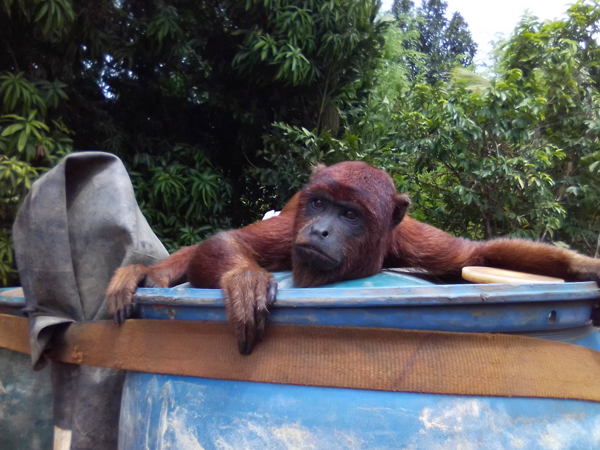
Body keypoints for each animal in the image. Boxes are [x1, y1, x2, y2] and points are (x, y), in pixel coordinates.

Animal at [106, 162, 600, 356]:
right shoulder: (290, 227)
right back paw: (139, 276)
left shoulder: (407, 239)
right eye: (320, 205)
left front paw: (586, 267)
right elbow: (225, 243)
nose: (319, 230)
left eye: (349, 215)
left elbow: (474, 253)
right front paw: (245, 281)